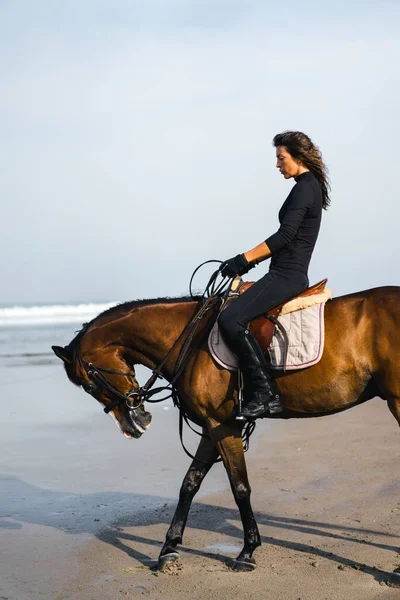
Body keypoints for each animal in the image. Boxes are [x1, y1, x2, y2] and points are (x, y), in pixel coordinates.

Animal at [52, 286, 400, 584]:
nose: (134, 426)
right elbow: (190, 484)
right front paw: (168, 550)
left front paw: (247, 553)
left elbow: (240, 488)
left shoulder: (225, 427)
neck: (190, 339)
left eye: (89, 384)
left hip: (397, 401)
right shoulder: (212, 426)